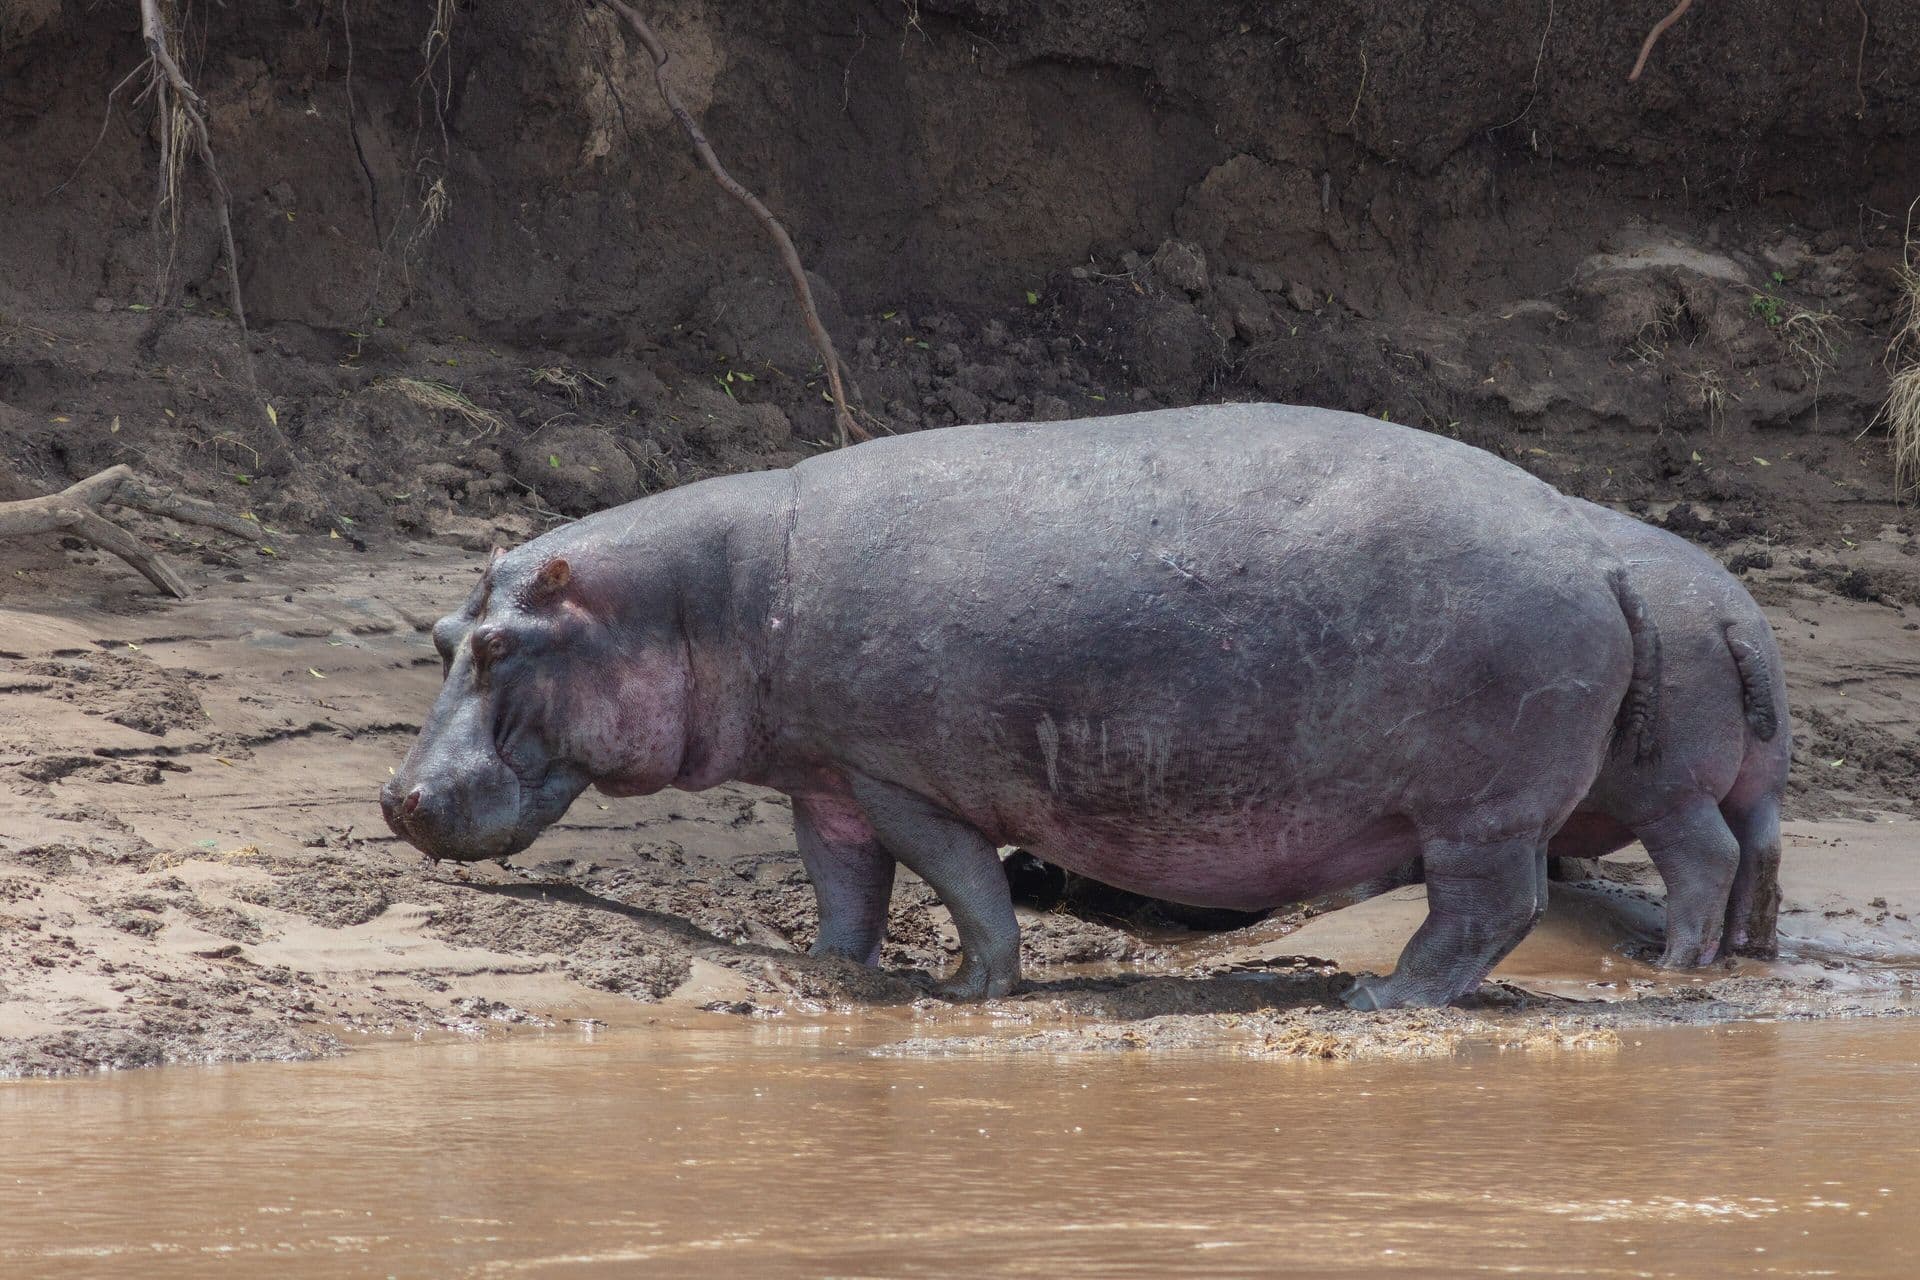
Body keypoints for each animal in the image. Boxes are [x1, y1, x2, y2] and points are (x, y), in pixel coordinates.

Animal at [381, 403, 1662, 1010]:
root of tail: (1596, 553)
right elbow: (844, 882)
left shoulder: (901, 776)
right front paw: (834, 970)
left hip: (1479, 811)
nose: (396, 796)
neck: (707, 600)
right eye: (441, 634)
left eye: (499, 643)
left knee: (1487, 908)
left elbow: (962, 880)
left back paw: (1381, 993)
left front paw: (965, 988)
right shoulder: (826, 776)